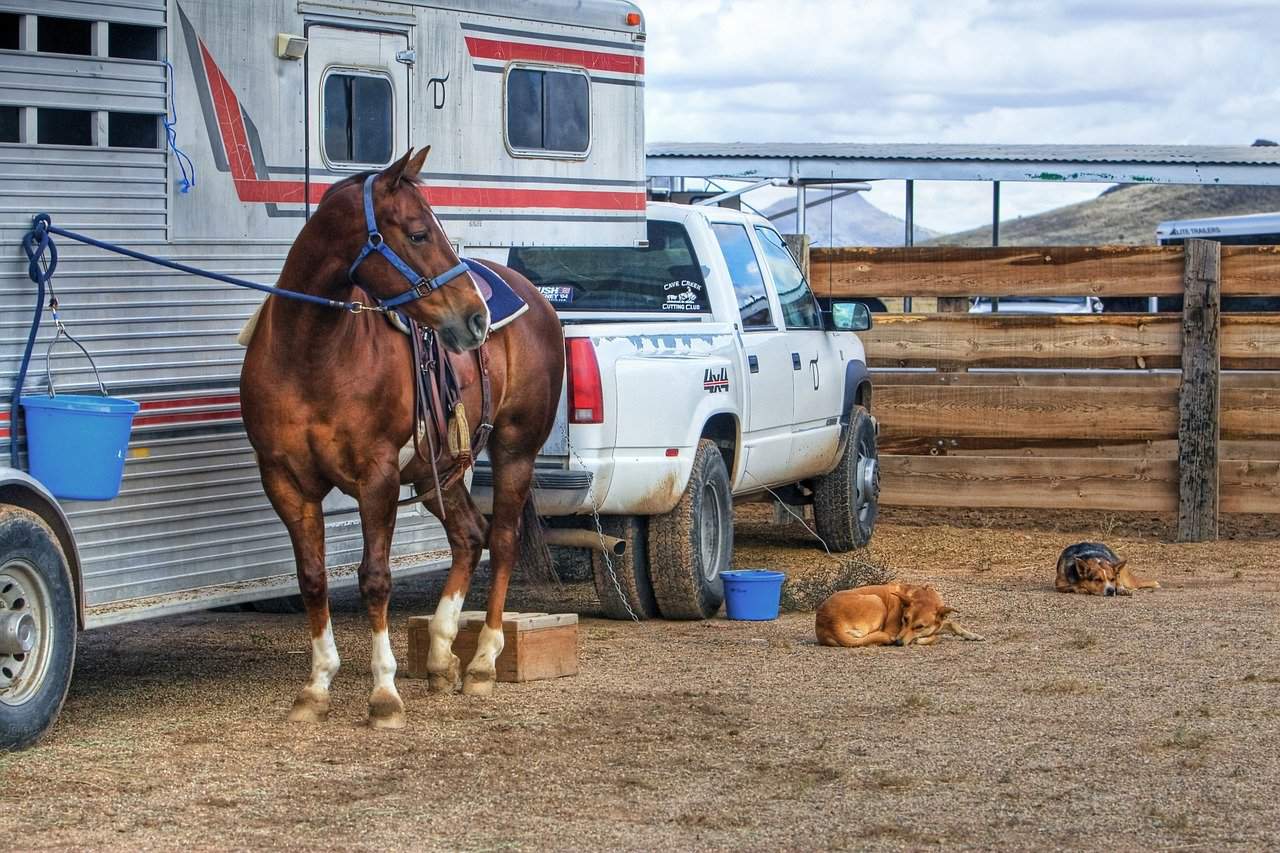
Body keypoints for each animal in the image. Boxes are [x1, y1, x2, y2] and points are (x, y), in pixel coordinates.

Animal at [239, 151, 565, 722]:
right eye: (417, 233)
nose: (475, 318)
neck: (310, 354)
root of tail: (534, 297)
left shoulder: (378, 477)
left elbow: (375, 578)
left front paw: (384, 693)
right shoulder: (285, 480)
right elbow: (312, 577)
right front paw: (317, 686)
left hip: (514, 450)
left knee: (500, 541)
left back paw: (482, 662)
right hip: (439, 471)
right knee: (469, 536)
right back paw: (438, 657)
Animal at [814, 581, 983, 648]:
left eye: (919, 626)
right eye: (904, 619)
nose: (898, 642)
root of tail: (829, 621)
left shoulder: (939, 622)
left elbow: (951, 623)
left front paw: (972, 635)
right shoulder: (893, 631)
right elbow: (935, 637)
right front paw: (923, 640)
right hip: (876, 601)